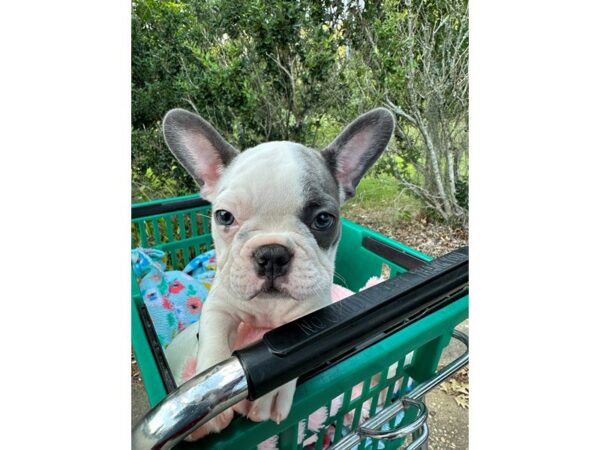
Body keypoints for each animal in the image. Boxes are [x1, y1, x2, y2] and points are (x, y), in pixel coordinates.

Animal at [161, 106, 394, 440]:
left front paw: (269, 394)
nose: (271, 254)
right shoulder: (220, 303)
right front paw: (205, 400)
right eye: (224, 216)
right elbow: (214, 335)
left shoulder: (314, 313)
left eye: (323, 219)